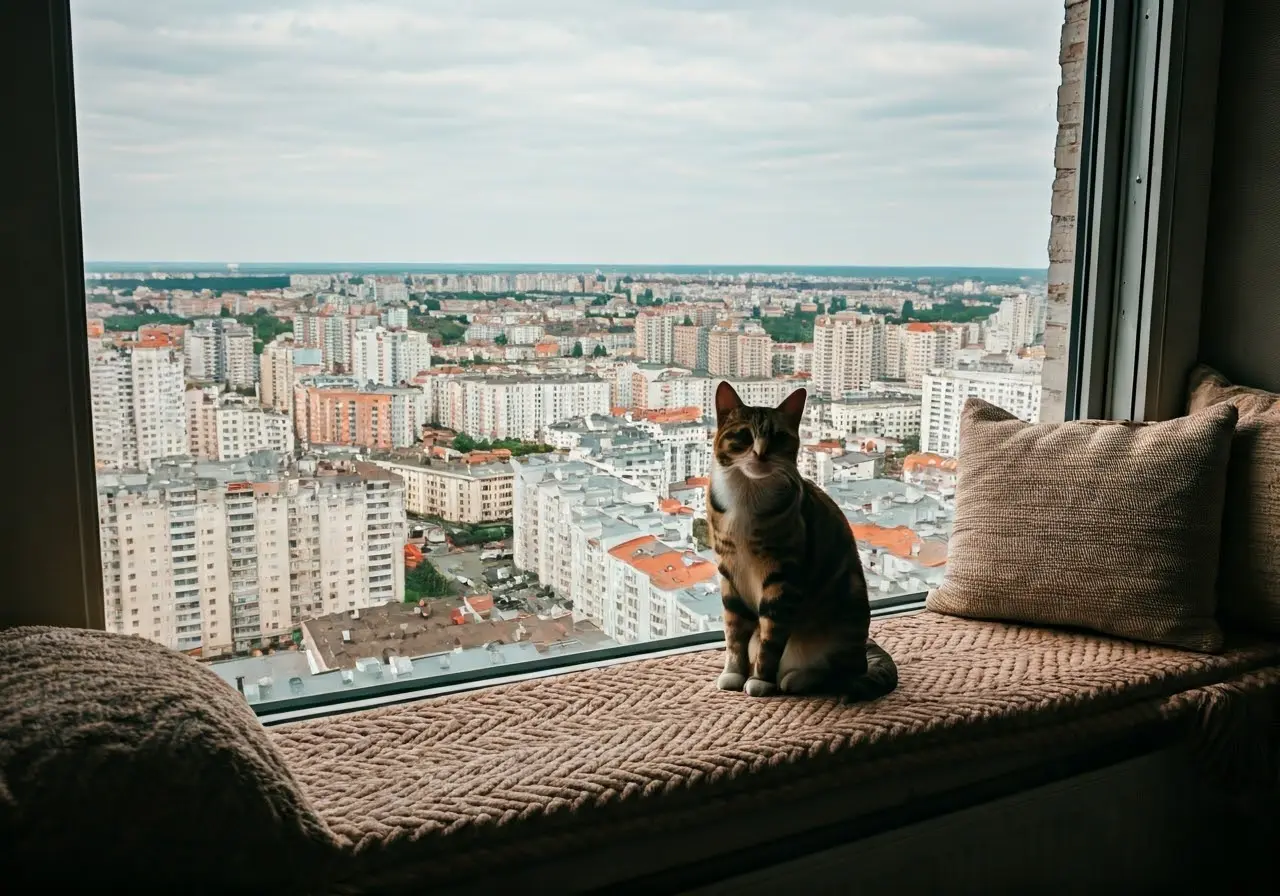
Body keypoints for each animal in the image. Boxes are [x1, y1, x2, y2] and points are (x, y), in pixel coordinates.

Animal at [706, 378, 896, 701]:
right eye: (743, 435)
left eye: (780, 437)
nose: (761, 453)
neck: (746, 495)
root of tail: (866, 648)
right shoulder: (728, 573)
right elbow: (734, 633)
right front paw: (733, 673)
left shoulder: (782, 578)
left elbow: (770, 639)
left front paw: (759, 680)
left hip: (842, 624)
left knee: (841, 673)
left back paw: (796, 679)